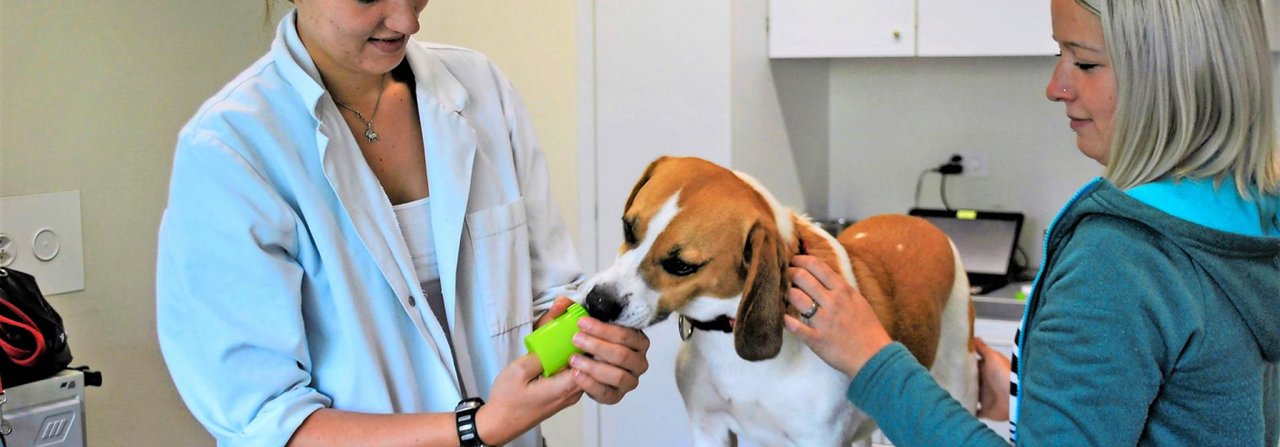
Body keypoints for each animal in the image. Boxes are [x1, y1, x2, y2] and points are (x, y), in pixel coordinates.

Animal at [586, 154, 972, 443]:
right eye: (627, 227)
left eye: (681, 266)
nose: (597, 303)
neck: (727, 335)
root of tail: (924, 224)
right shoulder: (708, 426)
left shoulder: (817, 440)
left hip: (957, 373)